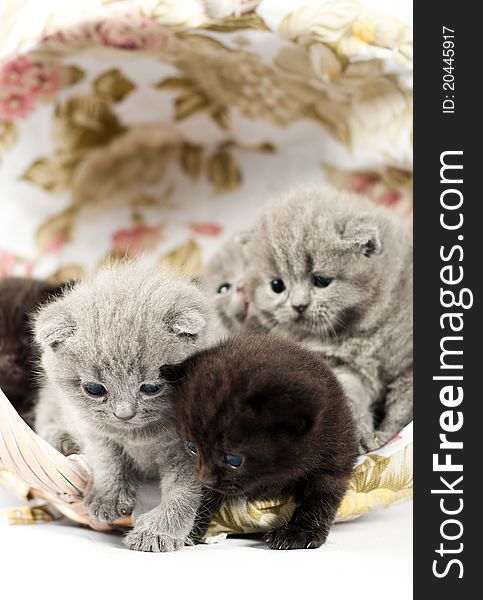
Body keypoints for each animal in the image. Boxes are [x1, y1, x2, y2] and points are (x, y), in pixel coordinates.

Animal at [35, 264, 219, 552]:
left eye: (151, 388)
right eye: (95, 389)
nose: (124, 414)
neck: (139, 437)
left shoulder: (190, 452)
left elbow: (183, 492)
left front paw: (158, 531)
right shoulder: (95, 432)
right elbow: (106, 460)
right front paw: (108, 498)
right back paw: (60, 438)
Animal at [166, 330, 360, 552]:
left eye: (234, 460)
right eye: (192, 448)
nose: (204, 479)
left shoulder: (335, 455)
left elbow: (319, 497)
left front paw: (299, 532)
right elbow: (203, 497)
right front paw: (187, 526)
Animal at [248, 185, 414, 452]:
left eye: (322, 281)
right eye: (277, 286)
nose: (298, 305)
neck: (361, 333)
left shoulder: (407, 369)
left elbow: (401, 408)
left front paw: (386, 435)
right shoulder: (345, 368)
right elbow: (352, 402)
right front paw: (362, 436)